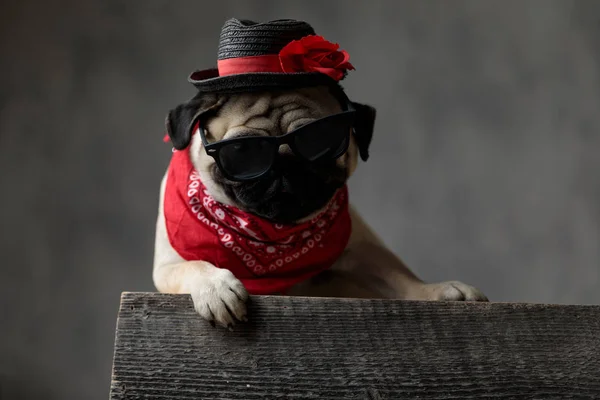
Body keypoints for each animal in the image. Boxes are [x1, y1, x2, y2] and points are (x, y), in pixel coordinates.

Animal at [155, 85, 488, 328]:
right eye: (242, 152)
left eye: (320, 143)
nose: (286, 164)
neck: (274, 237)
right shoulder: (168, 268)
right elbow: (194, 265)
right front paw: (215, 287)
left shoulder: (362, 253)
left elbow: (398, 275)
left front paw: (437, 290)